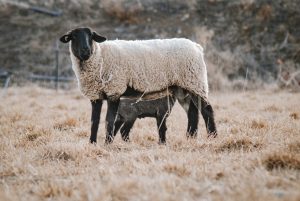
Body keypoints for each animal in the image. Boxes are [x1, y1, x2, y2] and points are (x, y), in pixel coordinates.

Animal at [59, 27, 217, 144]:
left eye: (91, 36)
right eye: (73, 37)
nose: (86, 50)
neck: (100, 56)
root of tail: (196, 46)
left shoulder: (114, 90)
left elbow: (109, 120)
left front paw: (107, 143)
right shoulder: (96, 95)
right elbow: (94, 121)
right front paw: (92, 143)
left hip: (195, 82)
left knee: (207, 110)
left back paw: (212, 137)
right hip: (183, 88)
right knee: (192, 113)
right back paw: (190, 138)